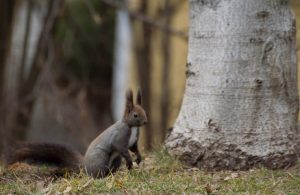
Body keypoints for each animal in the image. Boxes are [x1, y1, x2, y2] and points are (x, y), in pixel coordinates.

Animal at [5, 89, 148, 177]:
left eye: (144, 111)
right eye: (135, 115)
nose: (146, 122)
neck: (132, 127)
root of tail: (84, 165)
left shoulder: (133, 141)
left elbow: (134, 148)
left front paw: (139, 158)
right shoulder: (120, 136)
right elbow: (122, 148)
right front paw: (130, 161)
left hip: (116, 159)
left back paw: (112, 174)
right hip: (100, 159)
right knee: (96, 173)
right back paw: (103, 175)